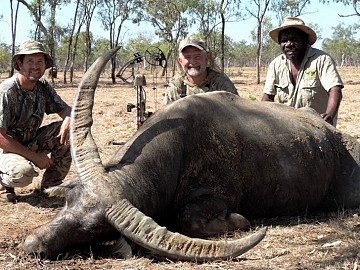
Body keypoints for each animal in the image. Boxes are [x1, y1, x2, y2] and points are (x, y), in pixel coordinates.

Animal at [23, 48, 360, 262]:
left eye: (94, 228)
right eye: (69, 201)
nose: (32, 245)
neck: (181, 149)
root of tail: (335, 138)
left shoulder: (213, 198)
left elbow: (190, 222)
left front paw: (240, 220)